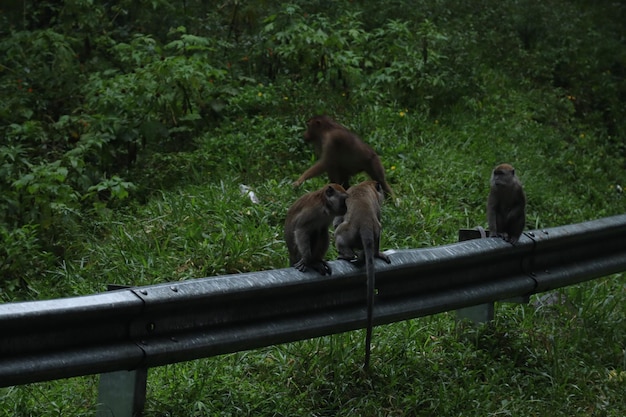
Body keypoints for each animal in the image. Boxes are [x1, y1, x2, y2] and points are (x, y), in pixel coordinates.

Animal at [332, 180, 390, 368]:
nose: (383, 196)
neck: (365, 185)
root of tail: (365, 227)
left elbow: (336, 220)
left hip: (347, 232)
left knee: (339, 232)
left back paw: (348, 256)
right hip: (375, 231)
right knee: (377, 232)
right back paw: (370, 256)